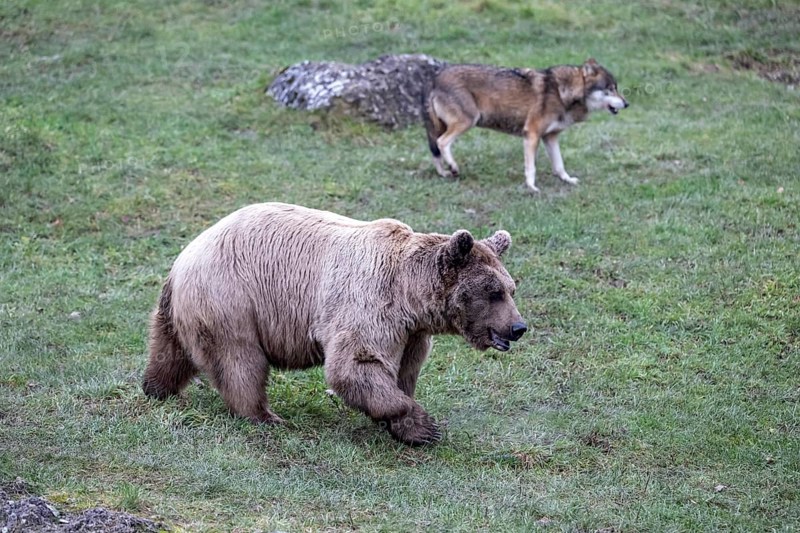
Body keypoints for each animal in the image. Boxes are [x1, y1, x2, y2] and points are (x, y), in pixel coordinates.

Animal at [142, 202, 527, 445]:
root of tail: (184, 258)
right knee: (240, 361)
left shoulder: (411, 333)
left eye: (511, 289)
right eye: (493, 292)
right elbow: (356, 364)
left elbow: (404, 371)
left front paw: (412, 429)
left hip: (184, 309)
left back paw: (156, 388)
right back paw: (264, 415)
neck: (409, 295)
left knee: (169, 351)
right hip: (232, 300)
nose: (518, 327)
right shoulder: (369, 305)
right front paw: (422, 422)